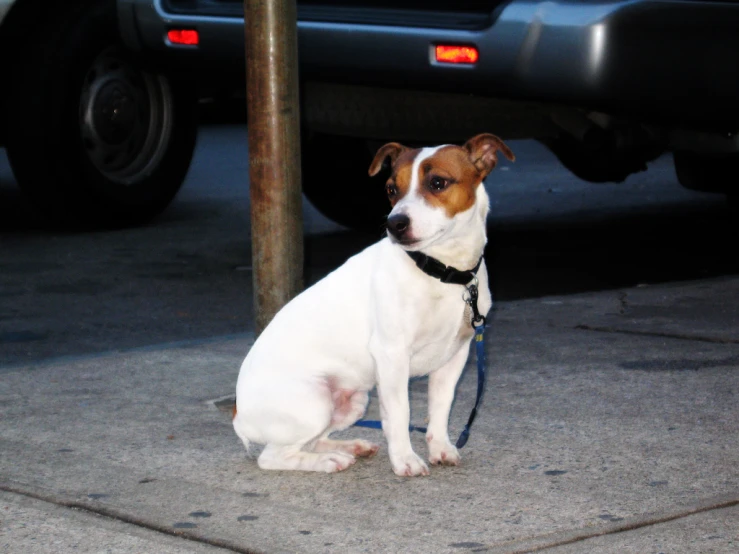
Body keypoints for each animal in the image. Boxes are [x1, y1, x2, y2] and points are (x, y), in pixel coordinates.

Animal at [234, 133, 516, 474]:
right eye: (391, 189)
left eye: (438, 183)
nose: (395, 223)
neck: (442, 273)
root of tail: (238, 416)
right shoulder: (392, 355)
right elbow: (399, 415)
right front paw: (405, 459)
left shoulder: (454, 358)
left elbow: (440, 408)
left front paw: (439, 447)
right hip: (314, 403)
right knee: (273, 456)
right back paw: (328, 460)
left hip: (352, 401)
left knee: (311, 441)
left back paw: (347, 447)